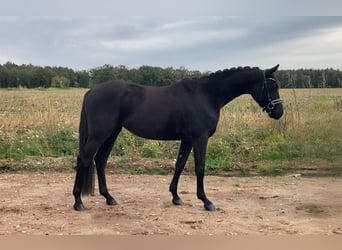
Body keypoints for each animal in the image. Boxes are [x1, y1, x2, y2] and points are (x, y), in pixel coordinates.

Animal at [72, 64, 284, 211]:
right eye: (271, 86)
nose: (279, 112)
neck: (206, 95)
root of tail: (92, 90)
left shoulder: (187, 140)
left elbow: (180, 165)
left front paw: (176, 197)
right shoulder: (199, 138)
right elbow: (200, 167)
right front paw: (206, 201)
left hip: (112, 133)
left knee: (100, 161)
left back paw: (109, 198)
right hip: (100, 134)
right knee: (84, 159)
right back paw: (78, 201)